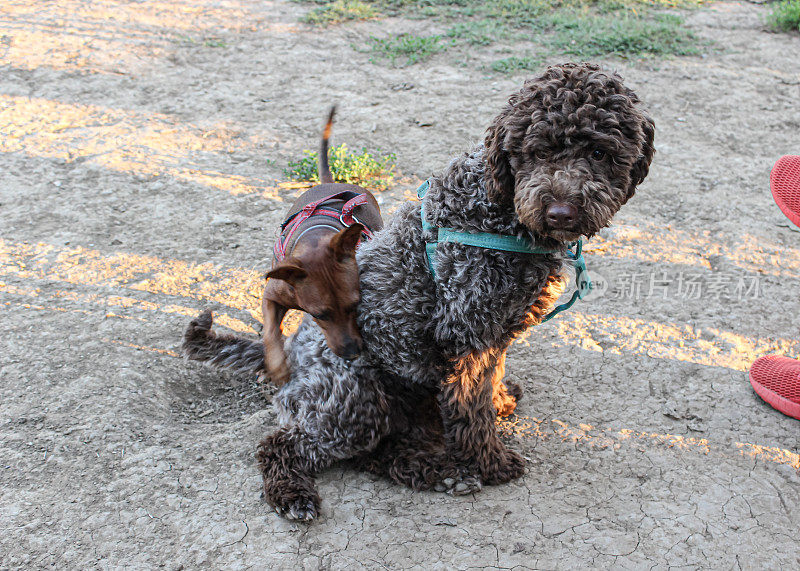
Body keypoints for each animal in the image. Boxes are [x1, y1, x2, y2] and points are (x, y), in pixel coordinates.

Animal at [262, 108, 384, 384]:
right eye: (320, 315)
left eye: (355, 305)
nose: (351, 353)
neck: (316, 234)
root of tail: (333, 182)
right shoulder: (272, 295)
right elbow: (270, 332)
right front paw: (278, 368)